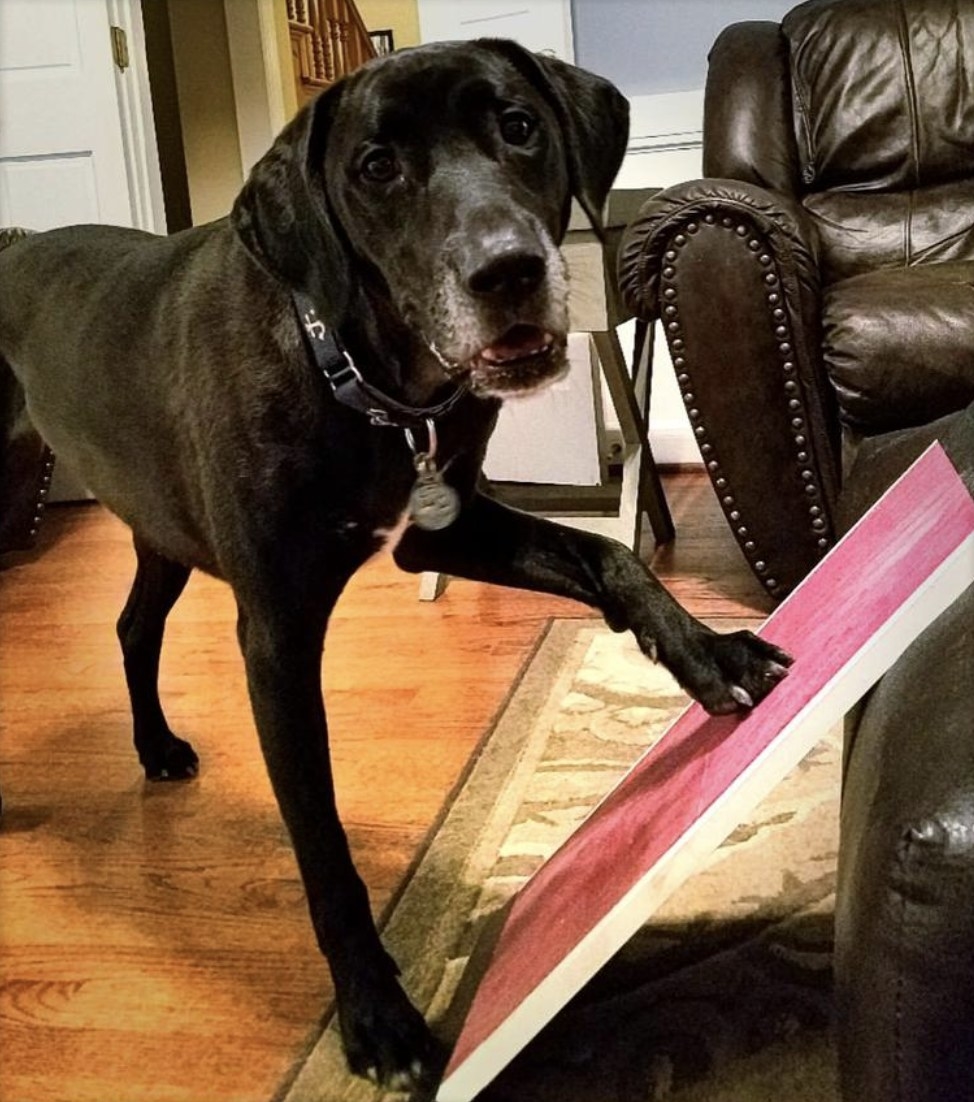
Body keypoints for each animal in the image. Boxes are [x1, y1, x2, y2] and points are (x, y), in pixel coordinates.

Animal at [0, 38, 793, 1088]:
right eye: (376, 167)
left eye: (519, 126)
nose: (509, 271)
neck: (360, 373)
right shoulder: (277, 636)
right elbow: (323, 844)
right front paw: (376, 1017)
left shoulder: (444, 526)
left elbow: (604, 556)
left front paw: (713, 652)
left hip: (158, 523)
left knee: (132, 625)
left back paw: (157, 748)